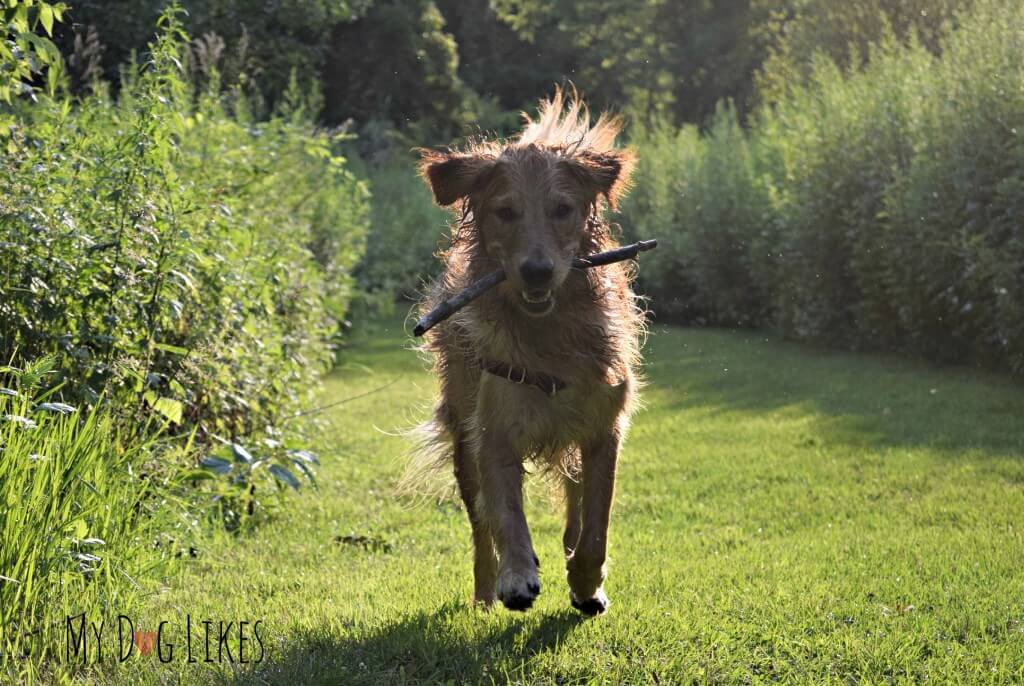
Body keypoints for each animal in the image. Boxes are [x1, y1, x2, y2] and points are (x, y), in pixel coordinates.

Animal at [413, 87, 638, 618]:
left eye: (562, 209)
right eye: (505, 212)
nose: (537, 271)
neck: (548, 335)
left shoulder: (604, 429)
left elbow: (595, 528)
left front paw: (586, 583)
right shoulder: (493, 433)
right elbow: (507, 518)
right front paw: (516, 576)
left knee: (576, 507)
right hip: (462, 437)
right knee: (482, 526)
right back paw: (485, 590)